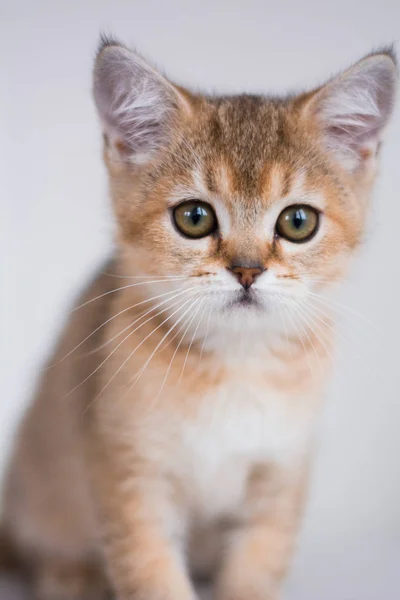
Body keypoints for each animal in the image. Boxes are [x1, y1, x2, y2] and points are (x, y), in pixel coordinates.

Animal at [0, 36, 396, 600]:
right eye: (194, 218)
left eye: (298, 222)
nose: (248, 270)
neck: (235, 366)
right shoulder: (129, 475)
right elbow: (152, 574)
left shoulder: (281, 475)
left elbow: (256, 569)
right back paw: (71, 575)